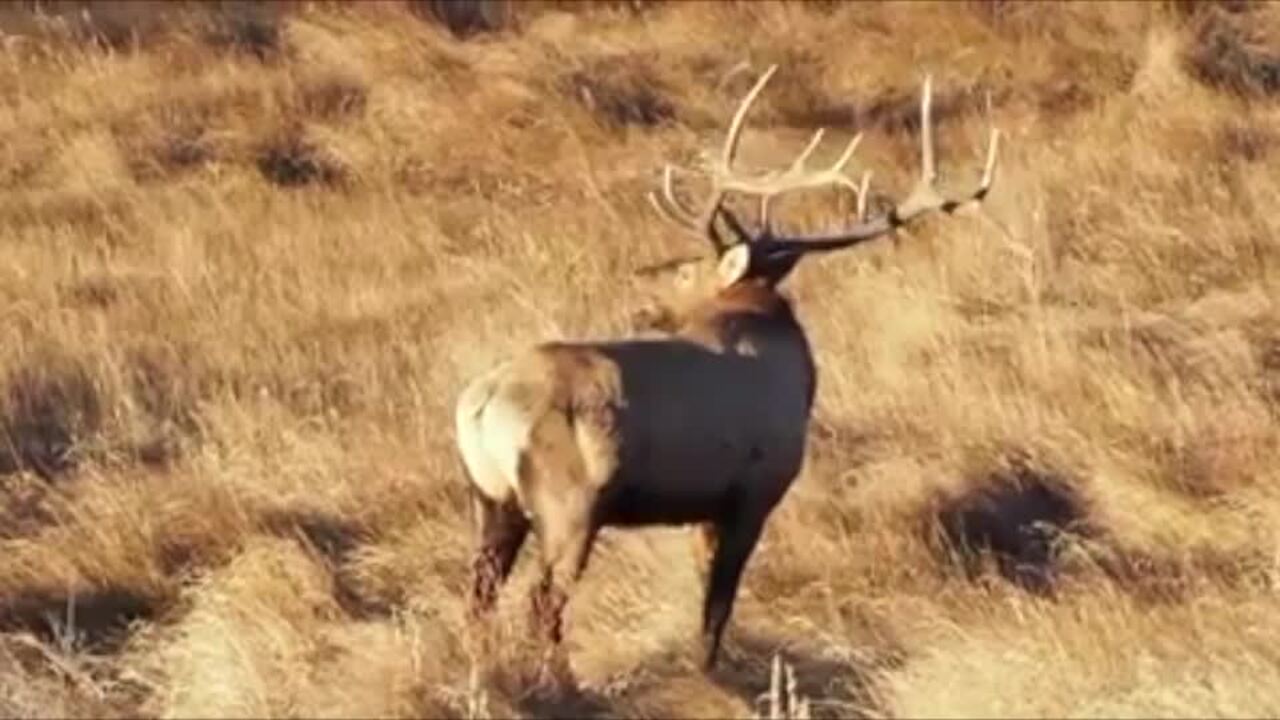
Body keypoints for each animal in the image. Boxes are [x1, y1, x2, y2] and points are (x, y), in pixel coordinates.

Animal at [454, 64, 1000, 685]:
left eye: (686, 268)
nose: (642, 284)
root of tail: (480, 405)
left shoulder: (713, 506)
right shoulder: (752, 492)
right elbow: (717, 605)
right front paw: (709, 672)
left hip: (491, 498)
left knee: (480, 594)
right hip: (568, 501)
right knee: (542, 600)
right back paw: (560, 681)